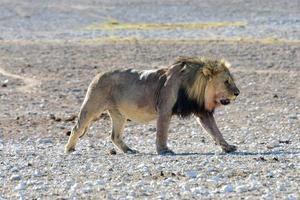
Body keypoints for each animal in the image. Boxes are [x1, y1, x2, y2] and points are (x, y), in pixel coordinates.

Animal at [64, 56, 240, 155]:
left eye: (231, 80)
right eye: (226, 82)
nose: (237, 92)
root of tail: (97, 75)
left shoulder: (202, 111)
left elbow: (215, 131)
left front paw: (228, 147)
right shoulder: (165, 109)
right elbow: (162, 132)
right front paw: (164, 150)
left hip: (119, 114)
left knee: (114, 136)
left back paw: (129, 150)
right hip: (92, 106)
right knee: (77, 127)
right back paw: (69, 149)